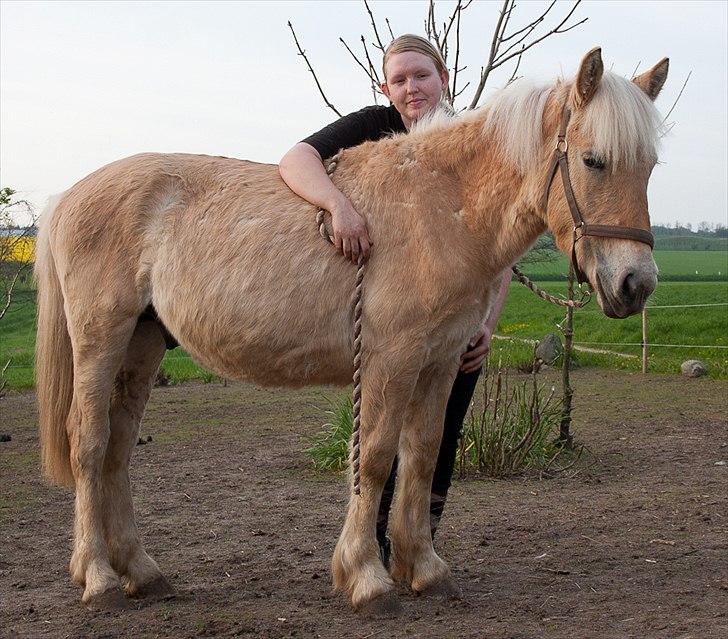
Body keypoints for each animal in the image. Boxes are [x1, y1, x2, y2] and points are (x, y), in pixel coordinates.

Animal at [35, 48, 672, 616]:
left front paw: (424, 569)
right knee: (89, 445)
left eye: (649, 167)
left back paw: (142, 573)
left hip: (143, 345)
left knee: (118, 450)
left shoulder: (439, 362)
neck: (440, 209)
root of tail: (67, 197)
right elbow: (376, 458)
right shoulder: (391, 360)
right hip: (101, 340)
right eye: (593, 160)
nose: (635, 284)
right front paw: (367, 578)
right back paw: (98, 578)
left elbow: (422, 455)